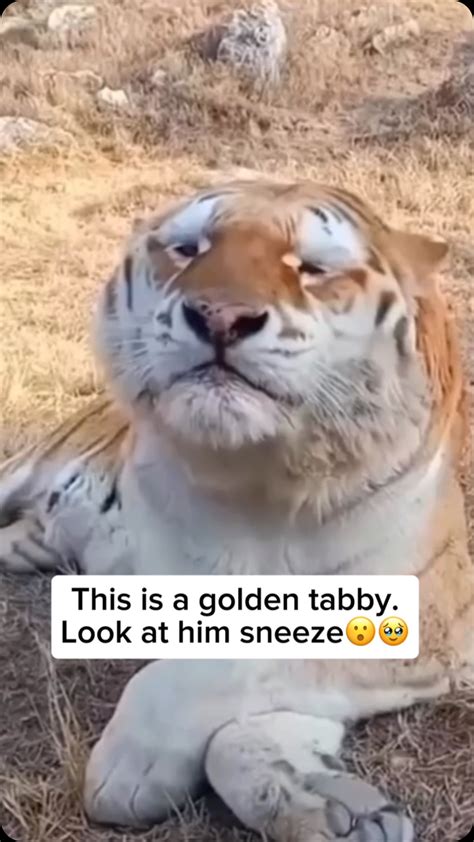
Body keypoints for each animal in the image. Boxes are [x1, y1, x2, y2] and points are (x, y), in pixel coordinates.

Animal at [0, 178, 472, 842]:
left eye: (312, 267)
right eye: (188, 248)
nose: (219, 316)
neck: (256, 489)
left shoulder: (421, 615)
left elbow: (246, 686)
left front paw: (342, 810)